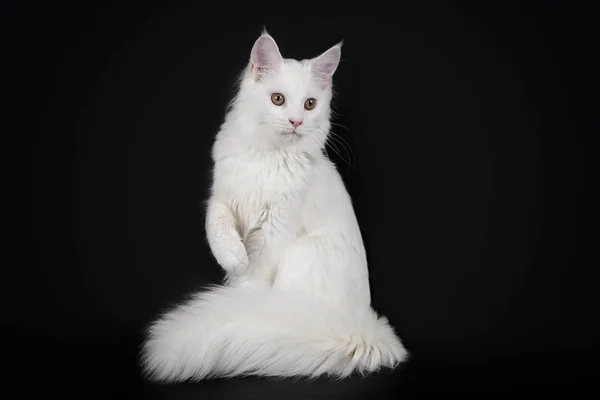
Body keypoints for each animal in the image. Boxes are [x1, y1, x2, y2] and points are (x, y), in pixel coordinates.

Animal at [141, 31, 408, 382]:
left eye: (310, 104)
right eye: (278, 99)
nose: (296, 121)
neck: (267, 157)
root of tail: (363, 328)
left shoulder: (275, 229)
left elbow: (253, 275)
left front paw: (240, 296)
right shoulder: (222, 198)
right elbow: (218, 230)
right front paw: (234, 258)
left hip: (302, 256)